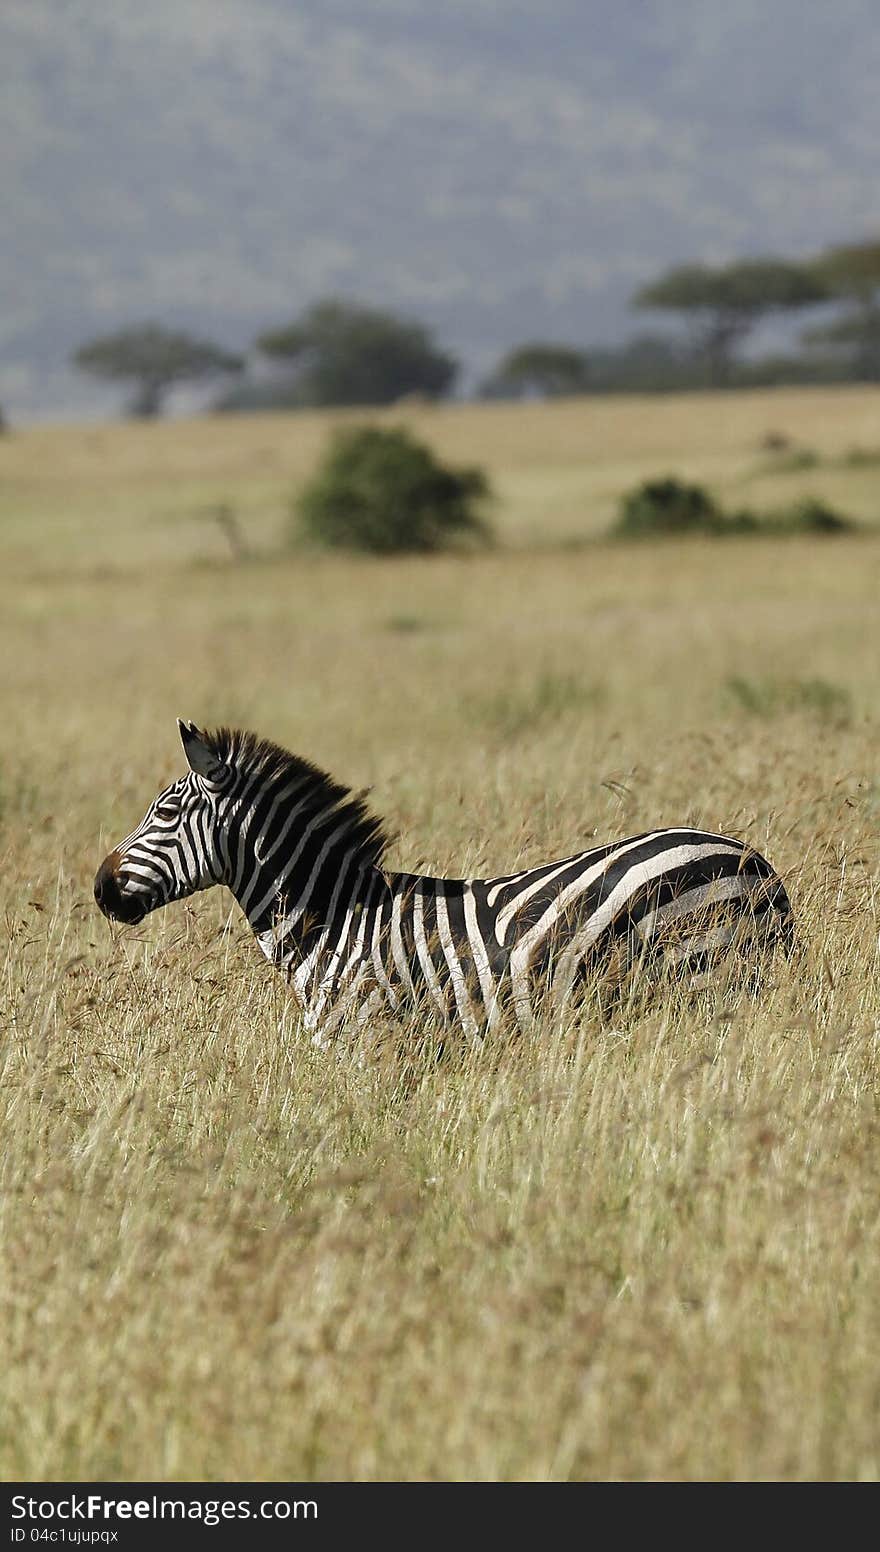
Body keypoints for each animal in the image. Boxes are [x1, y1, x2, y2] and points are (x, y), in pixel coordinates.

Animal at [93, 717, 794, 1036]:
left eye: (165, 812)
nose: (100, 889)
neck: (335, 920)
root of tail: (752, 861)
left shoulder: (364, 1040)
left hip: (702, 977)